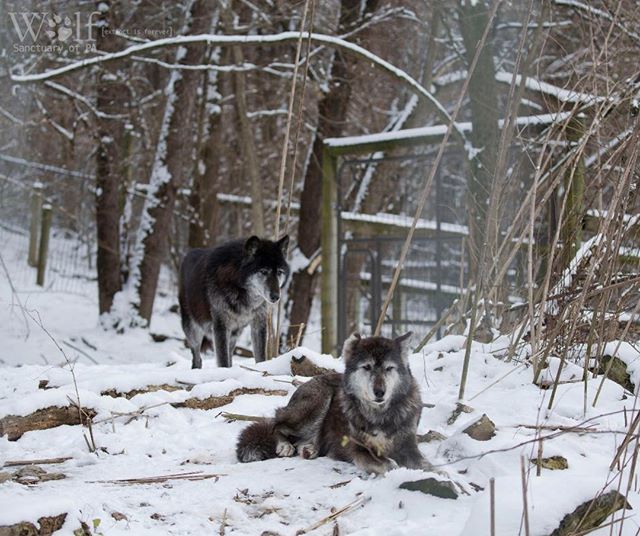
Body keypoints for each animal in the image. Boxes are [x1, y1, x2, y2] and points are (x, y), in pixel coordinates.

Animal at [178, 235, 290, 369]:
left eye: (279, 272)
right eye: (263, 271)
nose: (276, 297)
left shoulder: (259, 323)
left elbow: (260, 357)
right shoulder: (220, 325)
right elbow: (223, 360)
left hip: (235, 333)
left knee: (229, 354)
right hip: (193, 330)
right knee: (197, 357)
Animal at [236, 332, 427, 474]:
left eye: (389, 368)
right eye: (367, 367)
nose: (380, 392)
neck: (380, 415)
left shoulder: (409, 447)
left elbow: (424, 464)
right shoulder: (359, 450)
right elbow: (388, 464)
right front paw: (396, 468)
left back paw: (309, 449)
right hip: (318, 401)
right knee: (276, 422)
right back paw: (285, 445)